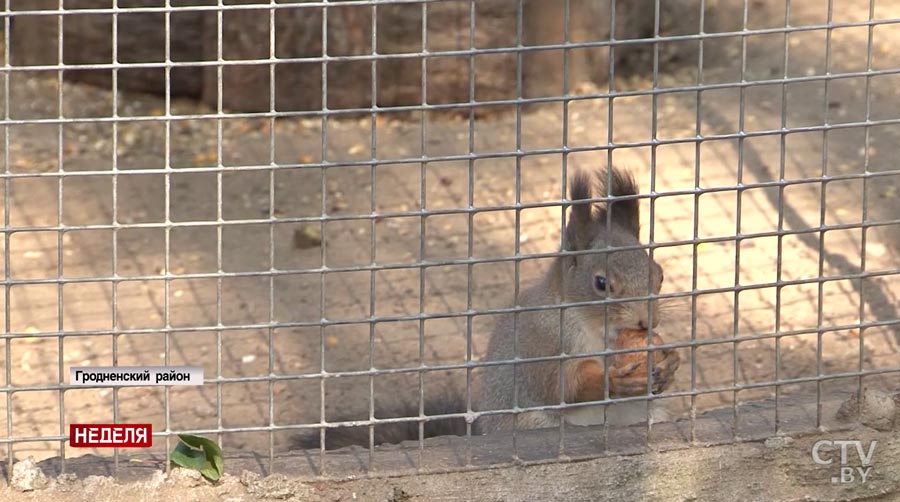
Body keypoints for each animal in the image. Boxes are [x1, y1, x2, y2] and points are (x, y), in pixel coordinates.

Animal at [298, 167, 680, 450]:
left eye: (658, 275)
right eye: (600, 283)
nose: (646, 321)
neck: (596, 330)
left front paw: (670, 359)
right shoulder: (540, 343)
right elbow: (562, 385)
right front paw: (613, 378)